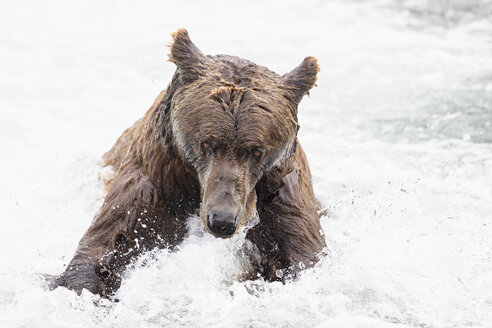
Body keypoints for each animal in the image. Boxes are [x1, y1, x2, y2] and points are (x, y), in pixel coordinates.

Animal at [49, 28, 326, 298]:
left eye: (256, 150)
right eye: (207, 143)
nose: (222, 219)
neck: (192, 186)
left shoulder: (280, 192)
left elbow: (300, 255)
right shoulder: (152, 181)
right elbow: (108, 245)